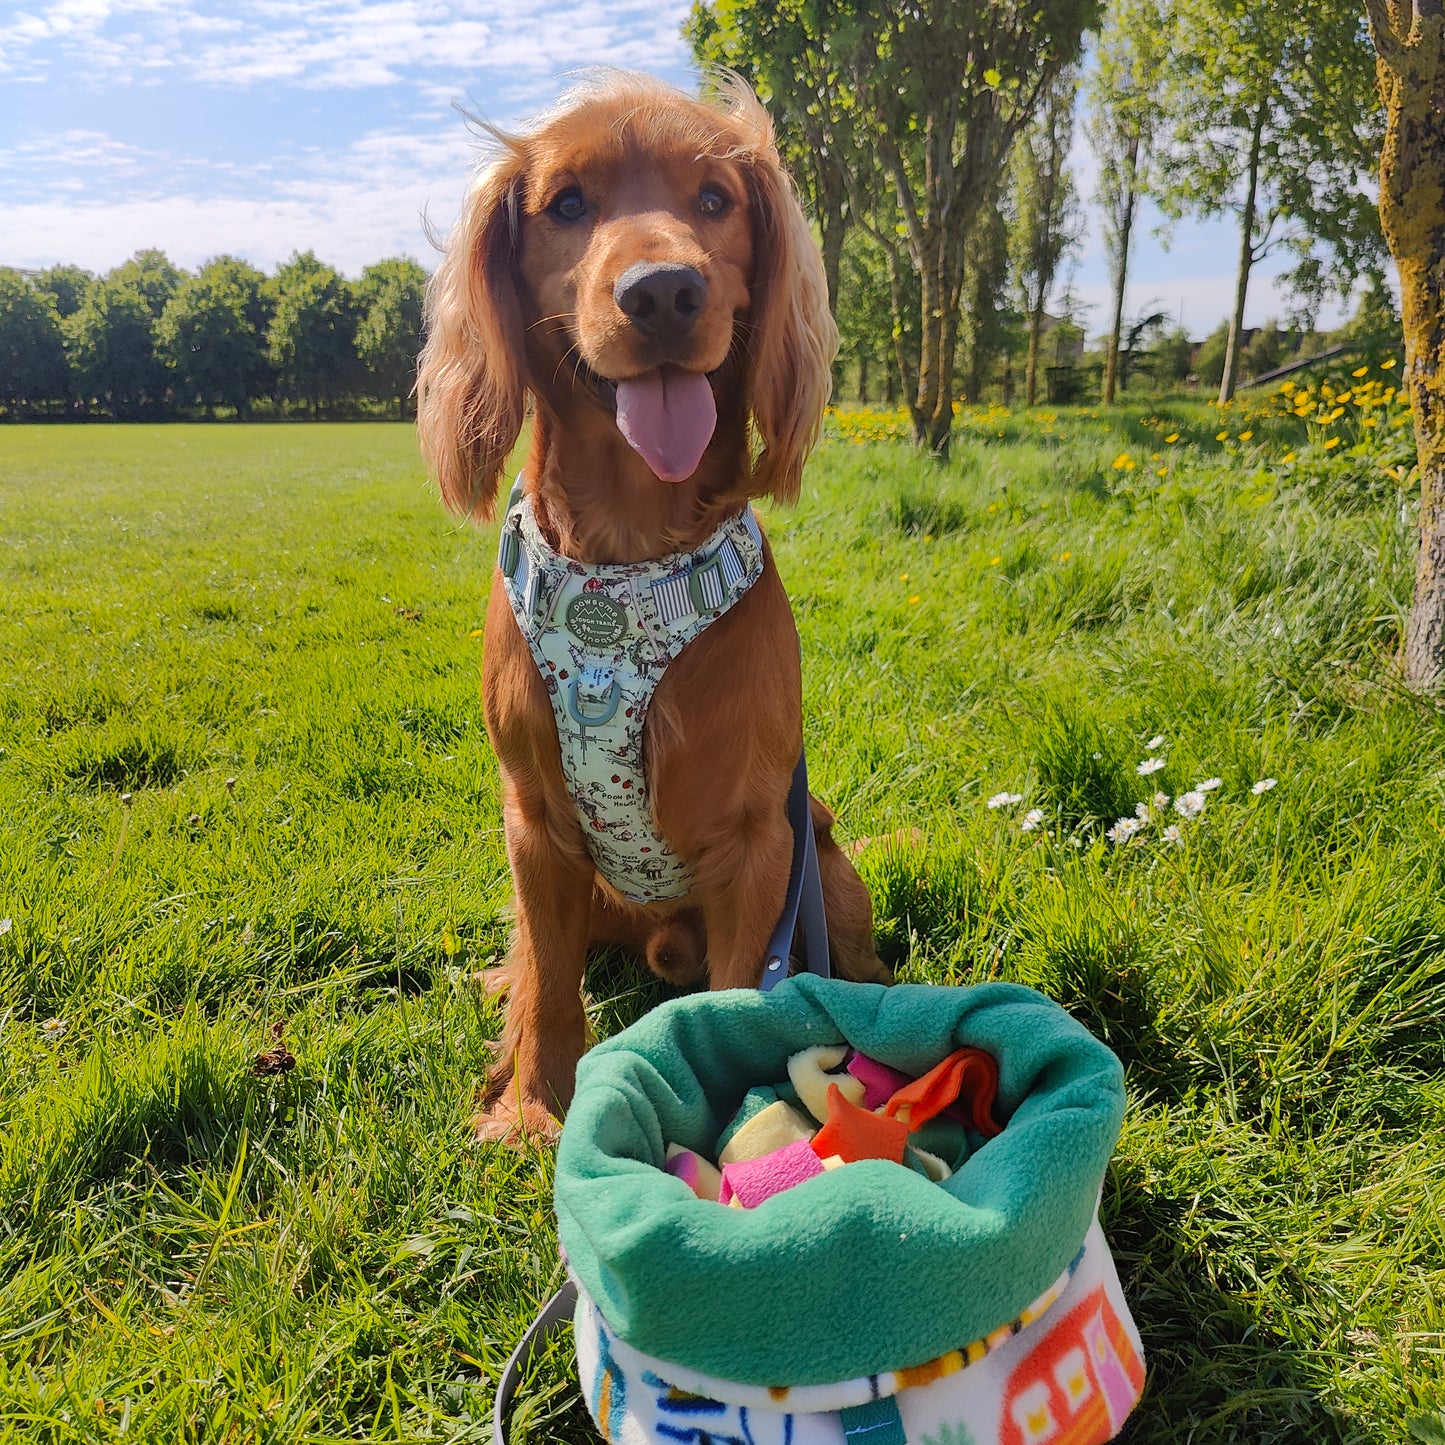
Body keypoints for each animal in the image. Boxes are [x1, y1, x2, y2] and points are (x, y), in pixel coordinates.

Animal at [416, 76, 890, 1138]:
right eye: (565, 204)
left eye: (714, 199)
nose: (663, 291)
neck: (627, 562)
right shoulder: (534, 825)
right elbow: (551, 987)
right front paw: (534, 1110)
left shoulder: (756, 844)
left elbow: (740, 994)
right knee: (530, 962)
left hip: (826, 862)